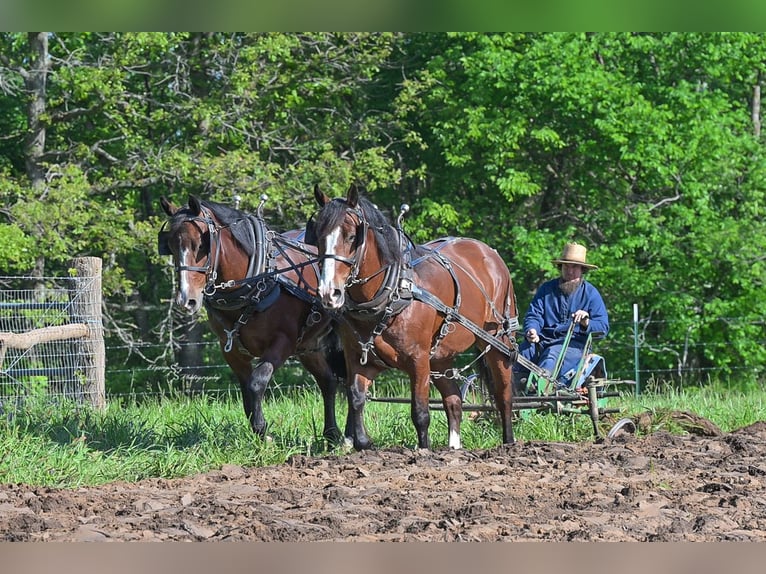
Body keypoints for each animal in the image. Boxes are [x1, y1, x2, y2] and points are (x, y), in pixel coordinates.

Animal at [158, 195, 348, 446]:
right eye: (170, 246)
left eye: (200, 245)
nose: (185, 299)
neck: (255, 281)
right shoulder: (231, 350)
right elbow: (247, 393)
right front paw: (259, 433)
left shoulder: (282, 343)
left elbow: (257, 382)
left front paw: (264, 432)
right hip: (308, 346)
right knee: (328, 381)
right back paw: (332, 434)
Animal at [305, 184, 519, 450]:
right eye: (318, 237)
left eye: (352, 236)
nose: (328, 293)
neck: (392, 292)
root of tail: (489, 253)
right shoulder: (357, 357)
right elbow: (356, 399)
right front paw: (364, 443)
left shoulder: (418, 360)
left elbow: (420, 412)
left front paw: (423, 451)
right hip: (440, 356)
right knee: (454, 400)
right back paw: (454, 448)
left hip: (497, 340)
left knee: (503, 394)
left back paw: (509, 443)